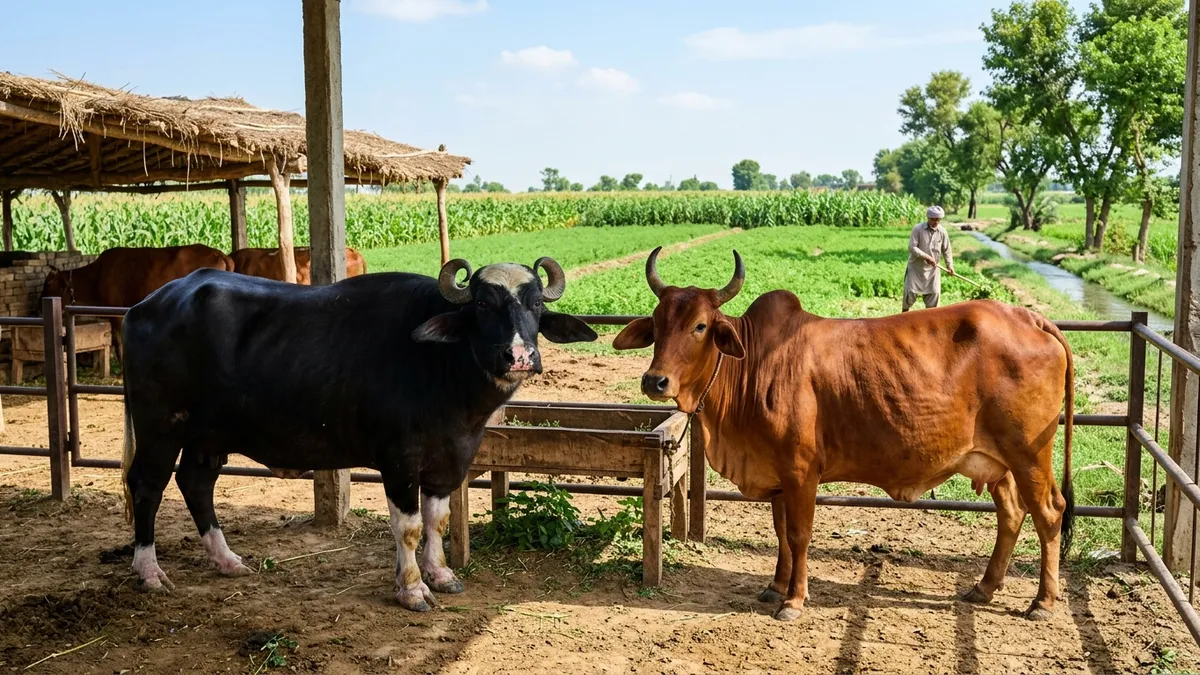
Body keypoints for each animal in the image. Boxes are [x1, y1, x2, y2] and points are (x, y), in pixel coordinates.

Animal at [40, 244, 235, 361]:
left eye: (48, 284)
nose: (38, 308)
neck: (97, 275)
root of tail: (219, 253)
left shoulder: (115, 312)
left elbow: (118, 342)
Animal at [119, 257, 597, 611]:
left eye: (535, 304)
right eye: (481, 304)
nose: (519, 355)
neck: (441, 366)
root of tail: (145, 307)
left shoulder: (450, 459)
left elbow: (437, 520)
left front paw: (441, 574)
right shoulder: (399, 460)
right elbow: (408, 527)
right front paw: (412, 588)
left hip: (207, 436)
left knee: (196, 483)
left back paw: (227, 560)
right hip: (160, 427)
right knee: (146, 486)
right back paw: (149, 572)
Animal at [613, 247, 1074, 622]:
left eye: (700, 326)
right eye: (657, 324)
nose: (655, 381)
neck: (753, 366)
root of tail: (1030, 316)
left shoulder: (801, 472)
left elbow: (799, 535)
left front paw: (794, 601)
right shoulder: (777, 474)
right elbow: (781, 533)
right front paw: (775, 587)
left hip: (1029, 454)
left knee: (1049, 512)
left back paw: (1043, 603)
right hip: (998, 462)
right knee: (1011, 513)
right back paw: (983, 588)